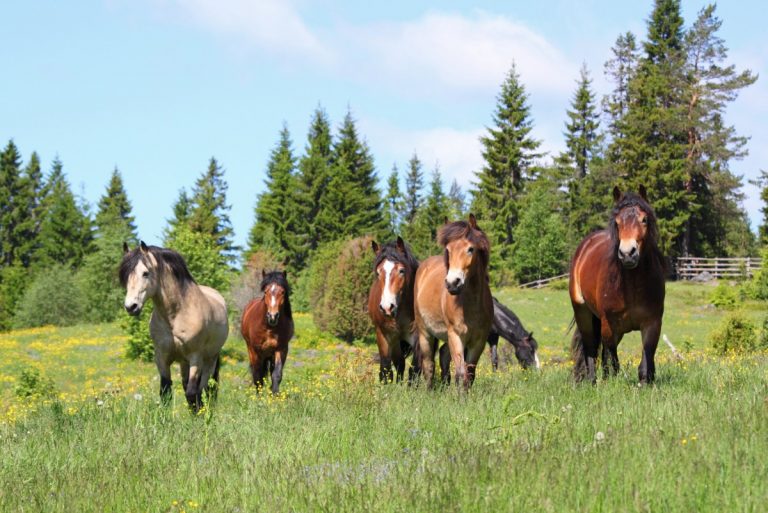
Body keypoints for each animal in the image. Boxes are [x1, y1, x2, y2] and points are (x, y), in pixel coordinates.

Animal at [118, 242, 228, 410]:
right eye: (126, 276)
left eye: (145, 273)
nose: (131, 307)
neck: (176, 315)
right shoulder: (161, 357)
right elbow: (166, 392)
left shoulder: (196, 357)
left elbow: (192, 393)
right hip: (184, 363)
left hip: (210, 359)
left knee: (204, 388)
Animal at [368, 236, 420, 380]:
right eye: (378, 272)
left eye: (401, 271)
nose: (387, 307)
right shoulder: (383, 334)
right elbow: (385, 368)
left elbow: (414, 369)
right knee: (399, 363)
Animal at [414, 213, 492, 388]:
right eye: (448, 250)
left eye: (470, 249)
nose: (452, 283)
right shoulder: (456, 336)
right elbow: (461, 374)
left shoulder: (479, 341)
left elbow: (470, 374)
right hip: (425, 333)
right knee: (428, 365)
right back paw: (429, 391)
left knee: (443, 355)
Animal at [568, 186, 664, 382]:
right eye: (618, 223)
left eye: (644, 220)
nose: (628, 253)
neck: (632, 287)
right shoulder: (609, 325)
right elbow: (612, 360)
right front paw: (613, 382)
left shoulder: (652, 324)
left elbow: (646, 361)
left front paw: (646, 383)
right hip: (583, 312)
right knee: (591, 349)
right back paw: (592, 381)